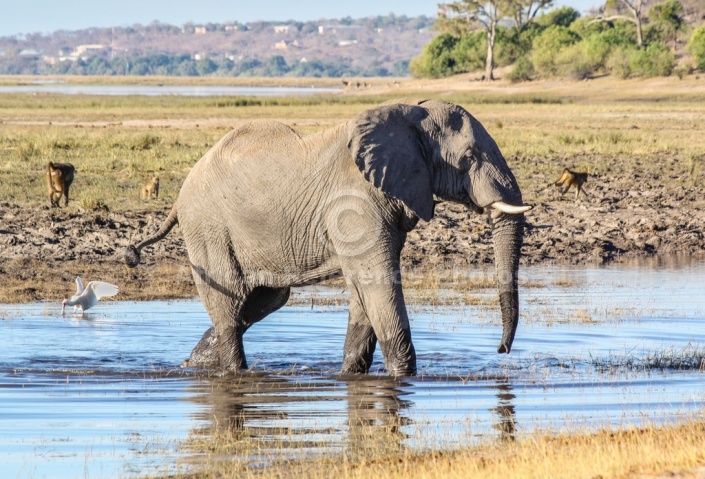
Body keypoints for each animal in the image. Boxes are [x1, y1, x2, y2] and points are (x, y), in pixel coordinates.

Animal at [125, 99, 528, 376]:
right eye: (470, 157)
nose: (501, 351)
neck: (409, 114)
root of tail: (179, 197)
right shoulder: (356, 204)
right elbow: (379, 286)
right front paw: (403, 377)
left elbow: (365, 294)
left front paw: (350, 376)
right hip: (208, 227)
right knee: (230, 307)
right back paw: (234, 371)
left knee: (261, 302)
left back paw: (191, 364)